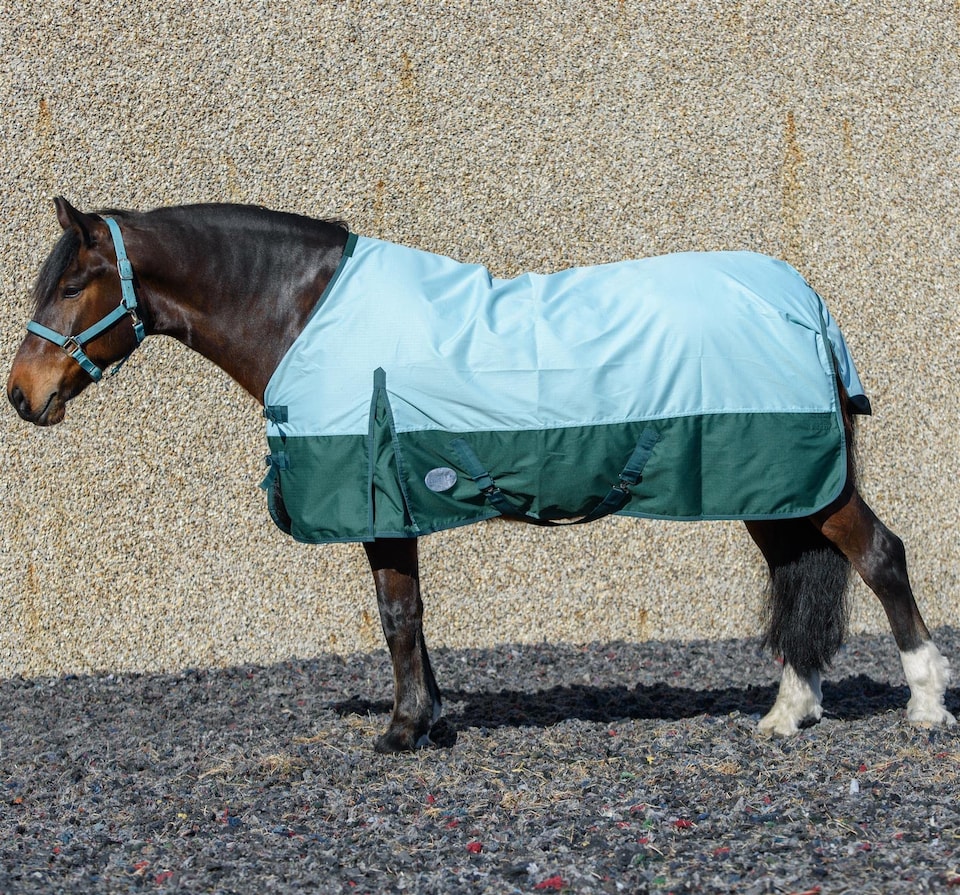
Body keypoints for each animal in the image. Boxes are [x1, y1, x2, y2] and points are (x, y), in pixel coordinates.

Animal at [7, 198, 954, 752]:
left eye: (77, 281)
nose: (22, 394)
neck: (306, 312)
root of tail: (805, 303)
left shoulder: (378, 498)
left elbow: (396, 615)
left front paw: (400, 730)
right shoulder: (397, 501)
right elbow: (413, 616)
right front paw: (428, 716)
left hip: (805, 480)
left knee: (882, 556)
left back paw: (924, 704)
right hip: (773, 485)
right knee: (800, 576)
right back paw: (787, 713)